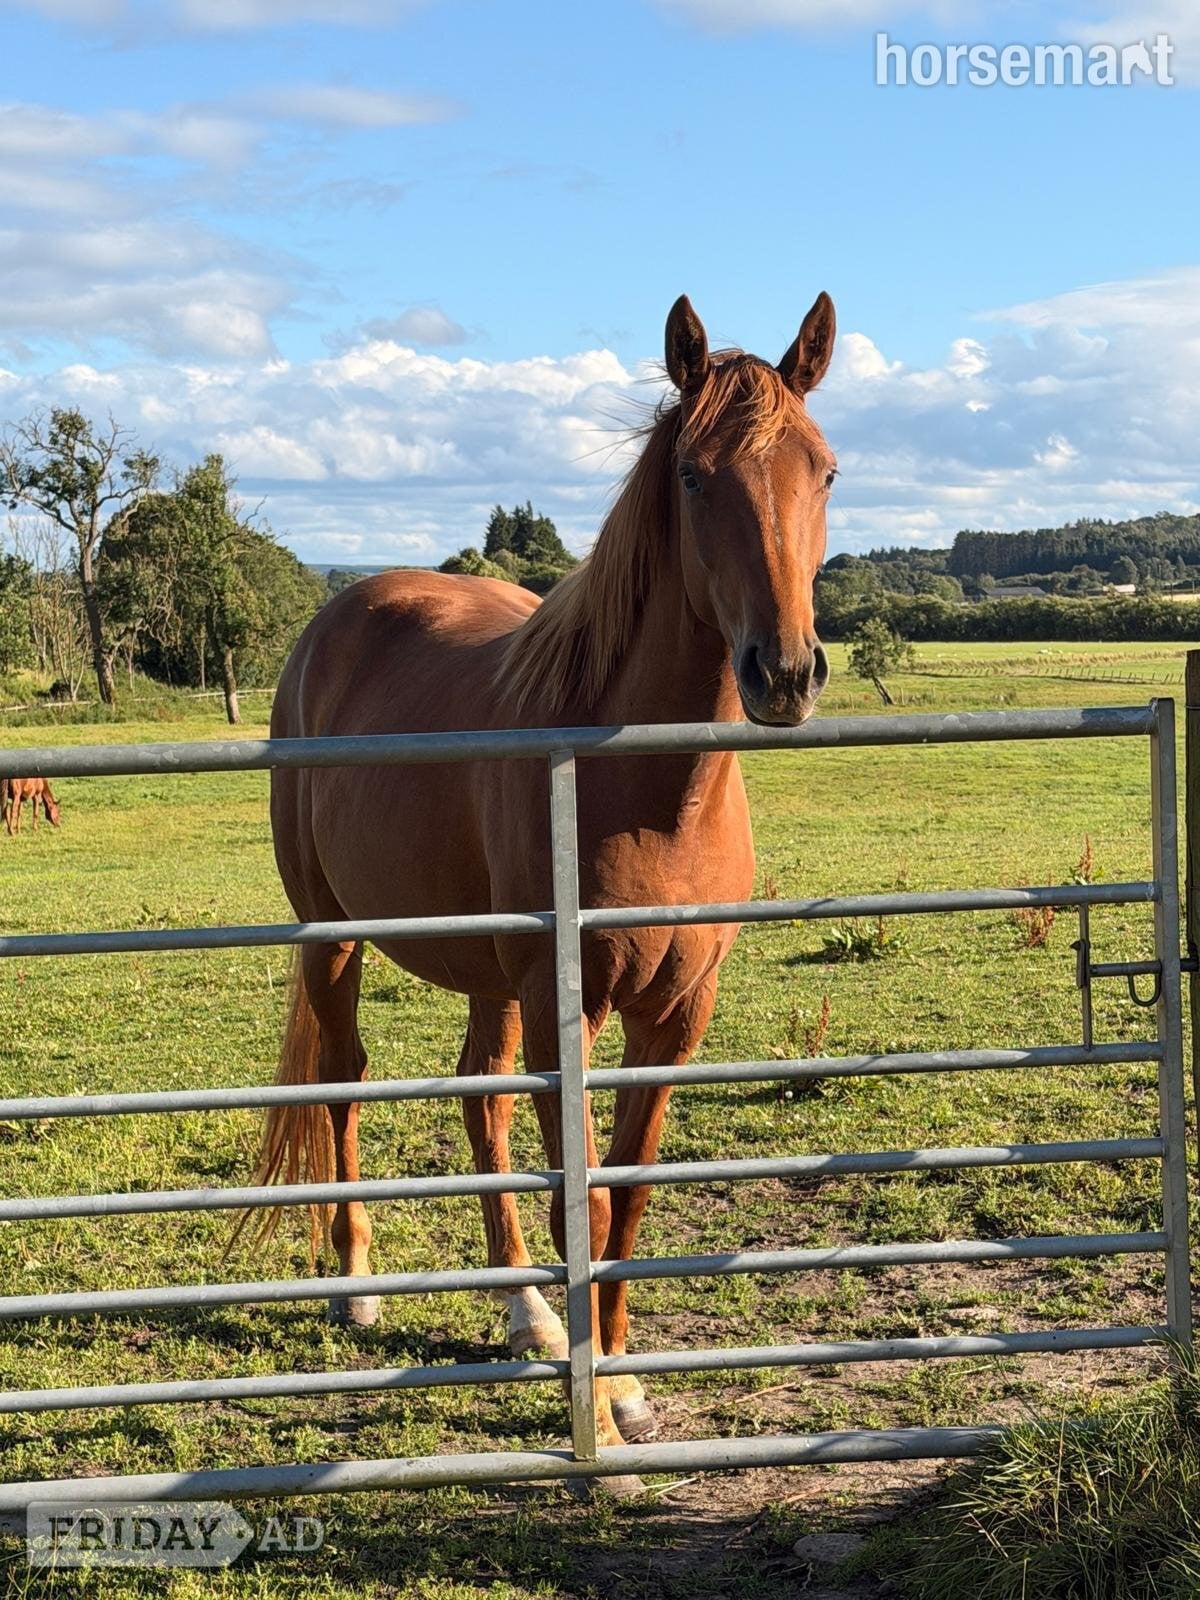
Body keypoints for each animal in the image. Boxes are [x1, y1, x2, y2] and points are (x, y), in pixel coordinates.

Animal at [254, 291, 837, 1476]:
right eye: (694, 476)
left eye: (826, 471)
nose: (786, 673)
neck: (650, 792)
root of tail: (337, 619)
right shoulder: (569, 1005)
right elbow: (584, 1199)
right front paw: (600, 1404)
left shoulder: (677, 1012)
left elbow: (627, 1197)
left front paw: (623, 1381)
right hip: (335, 936)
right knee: (344, 1077)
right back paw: (355, 1285)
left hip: (491, 974)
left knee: (478, 1096)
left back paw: (526, 1311)